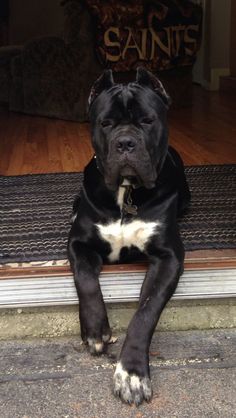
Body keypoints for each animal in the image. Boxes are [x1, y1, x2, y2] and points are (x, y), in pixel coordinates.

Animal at [68, 68, 190, 404]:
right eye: (106, 123)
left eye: (147, 120)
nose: (125, 142)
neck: (127, 193)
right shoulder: (79, 243)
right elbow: (85, 280)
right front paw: (95, 330)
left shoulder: (169, 257)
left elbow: (146, 312)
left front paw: (132, 374)